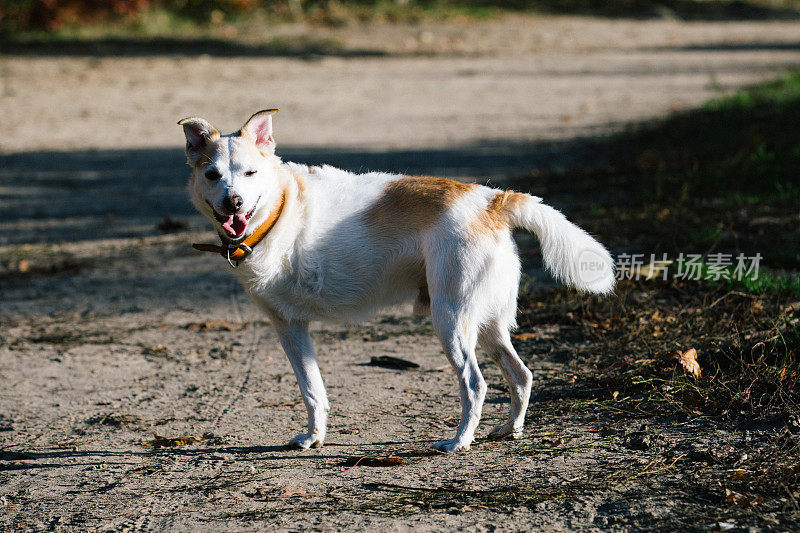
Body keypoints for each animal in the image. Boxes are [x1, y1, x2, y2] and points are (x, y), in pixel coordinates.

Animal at [178, 110, 612, 450]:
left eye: (251, 173)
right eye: (213, 175)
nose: (233, 202)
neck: (279, 209)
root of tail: (491, 200)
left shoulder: (289, 326)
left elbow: (311, 390)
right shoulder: (291, 328)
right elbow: (313, 391)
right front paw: (314, 438)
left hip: (451, 321)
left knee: (475, 385)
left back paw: (459, 442)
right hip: (487, 325)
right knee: (521, 376)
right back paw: (509, 430)